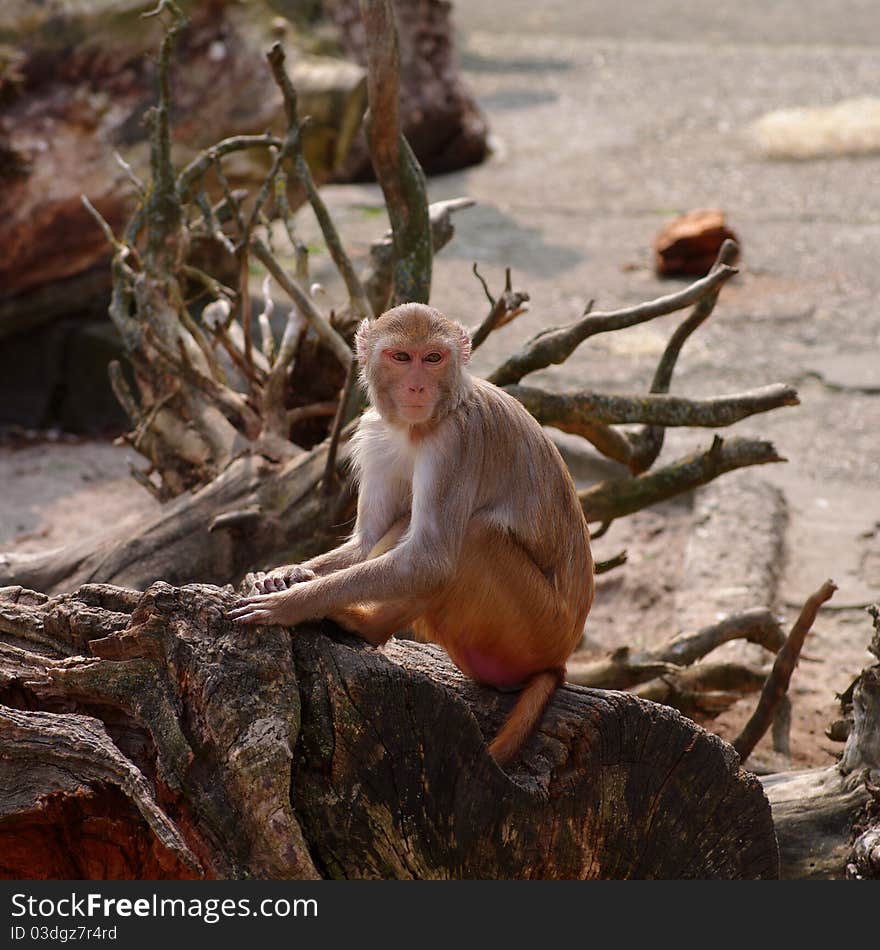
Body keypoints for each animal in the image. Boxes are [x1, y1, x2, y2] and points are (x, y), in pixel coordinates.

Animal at [230, 304, 596, 768]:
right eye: (401, 357)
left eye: (433, 358)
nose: (418, 385)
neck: (420, 424)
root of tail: (561, 657)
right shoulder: (375, 434)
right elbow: (367, 542)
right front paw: (285, 573)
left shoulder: (457, 441)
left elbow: (430, 559)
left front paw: (292, 603)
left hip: (536, 627)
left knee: (470, 538)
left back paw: (364, 626)